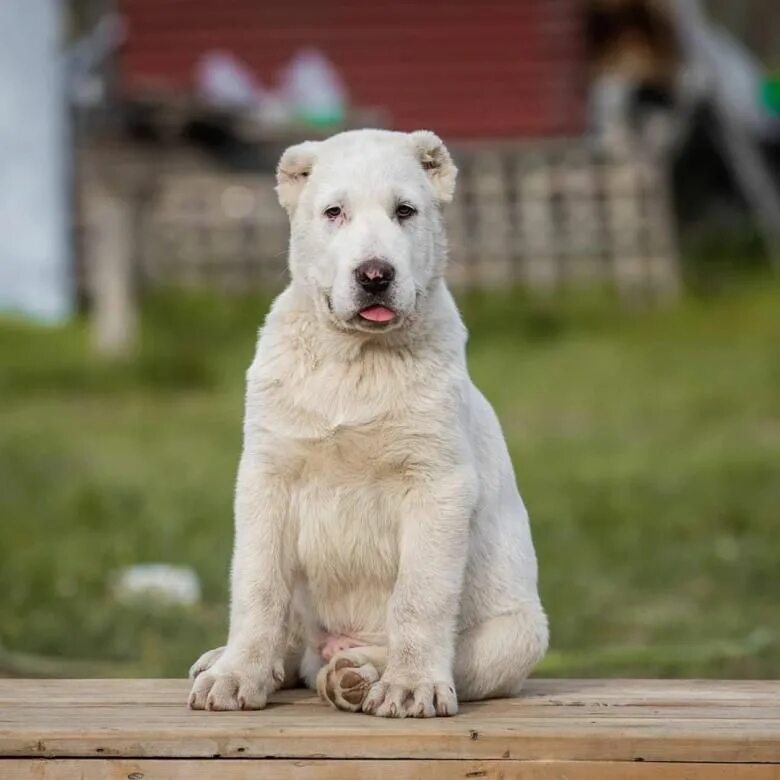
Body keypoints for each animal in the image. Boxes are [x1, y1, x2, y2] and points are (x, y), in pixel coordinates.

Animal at [187, 129, 548, 720]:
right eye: (334, 212)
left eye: (405, 211)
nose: (375, 275)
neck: (354, 359)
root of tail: (327, 649)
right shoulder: (267, 476)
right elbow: (257, 585)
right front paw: (237, 674)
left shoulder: (438, 485)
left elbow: (419, 597)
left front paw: (412, 685)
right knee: (291, 637)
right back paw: (245, 661)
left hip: (518, 635)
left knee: (451, 653)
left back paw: (357, 674)